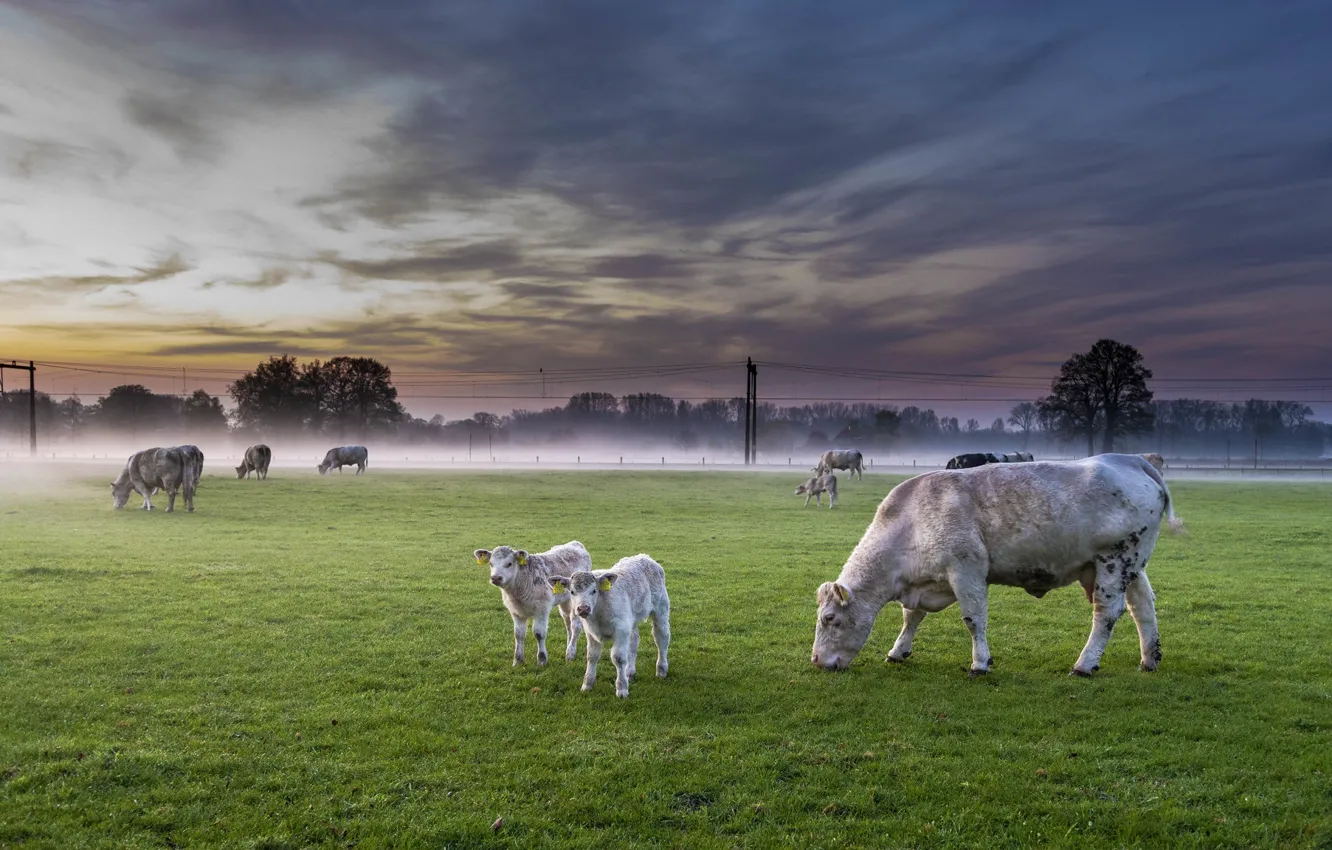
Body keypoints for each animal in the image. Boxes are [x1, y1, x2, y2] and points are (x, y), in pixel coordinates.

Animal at [811, 453, 1185, 678]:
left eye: (829, 619)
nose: (815, 660)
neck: (909, 522)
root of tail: (1129, 460)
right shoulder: (924, 582)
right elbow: (911, 618)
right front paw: (898, 650)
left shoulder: (966, 571)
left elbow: (973, 619)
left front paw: (980, 663)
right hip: (1131, 565)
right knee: (1143, 607)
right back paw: (1149, 658)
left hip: (1113, 560)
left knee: (1107, 612)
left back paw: (1085, 663)